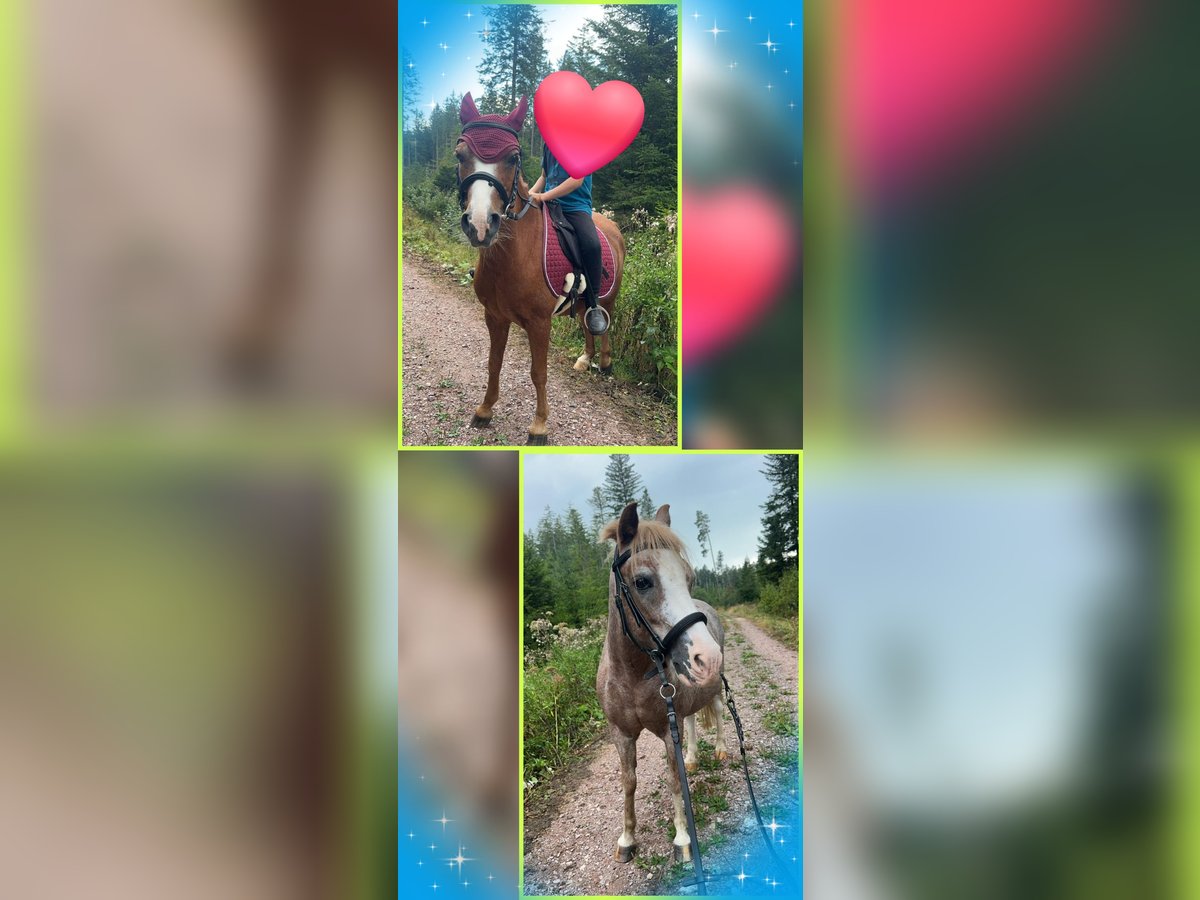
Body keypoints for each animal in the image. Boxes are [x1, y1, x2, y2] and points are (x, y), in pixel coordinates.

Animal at [453, 96, 628, 448]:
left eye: (513, 157)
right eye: (460, 155)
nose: (480, 225)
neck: (513, 256)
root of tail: (613, 227)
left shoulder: (539, 323)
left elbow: (538, 372)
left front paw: (539, 427)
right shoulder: (494, 315)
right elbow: (494, 363)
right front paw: (485, 409)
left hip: (608, 296)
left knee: (604, 321)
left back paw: (604, 361)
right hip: (580, 303)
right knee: (586, 322)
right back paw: (586, 358)